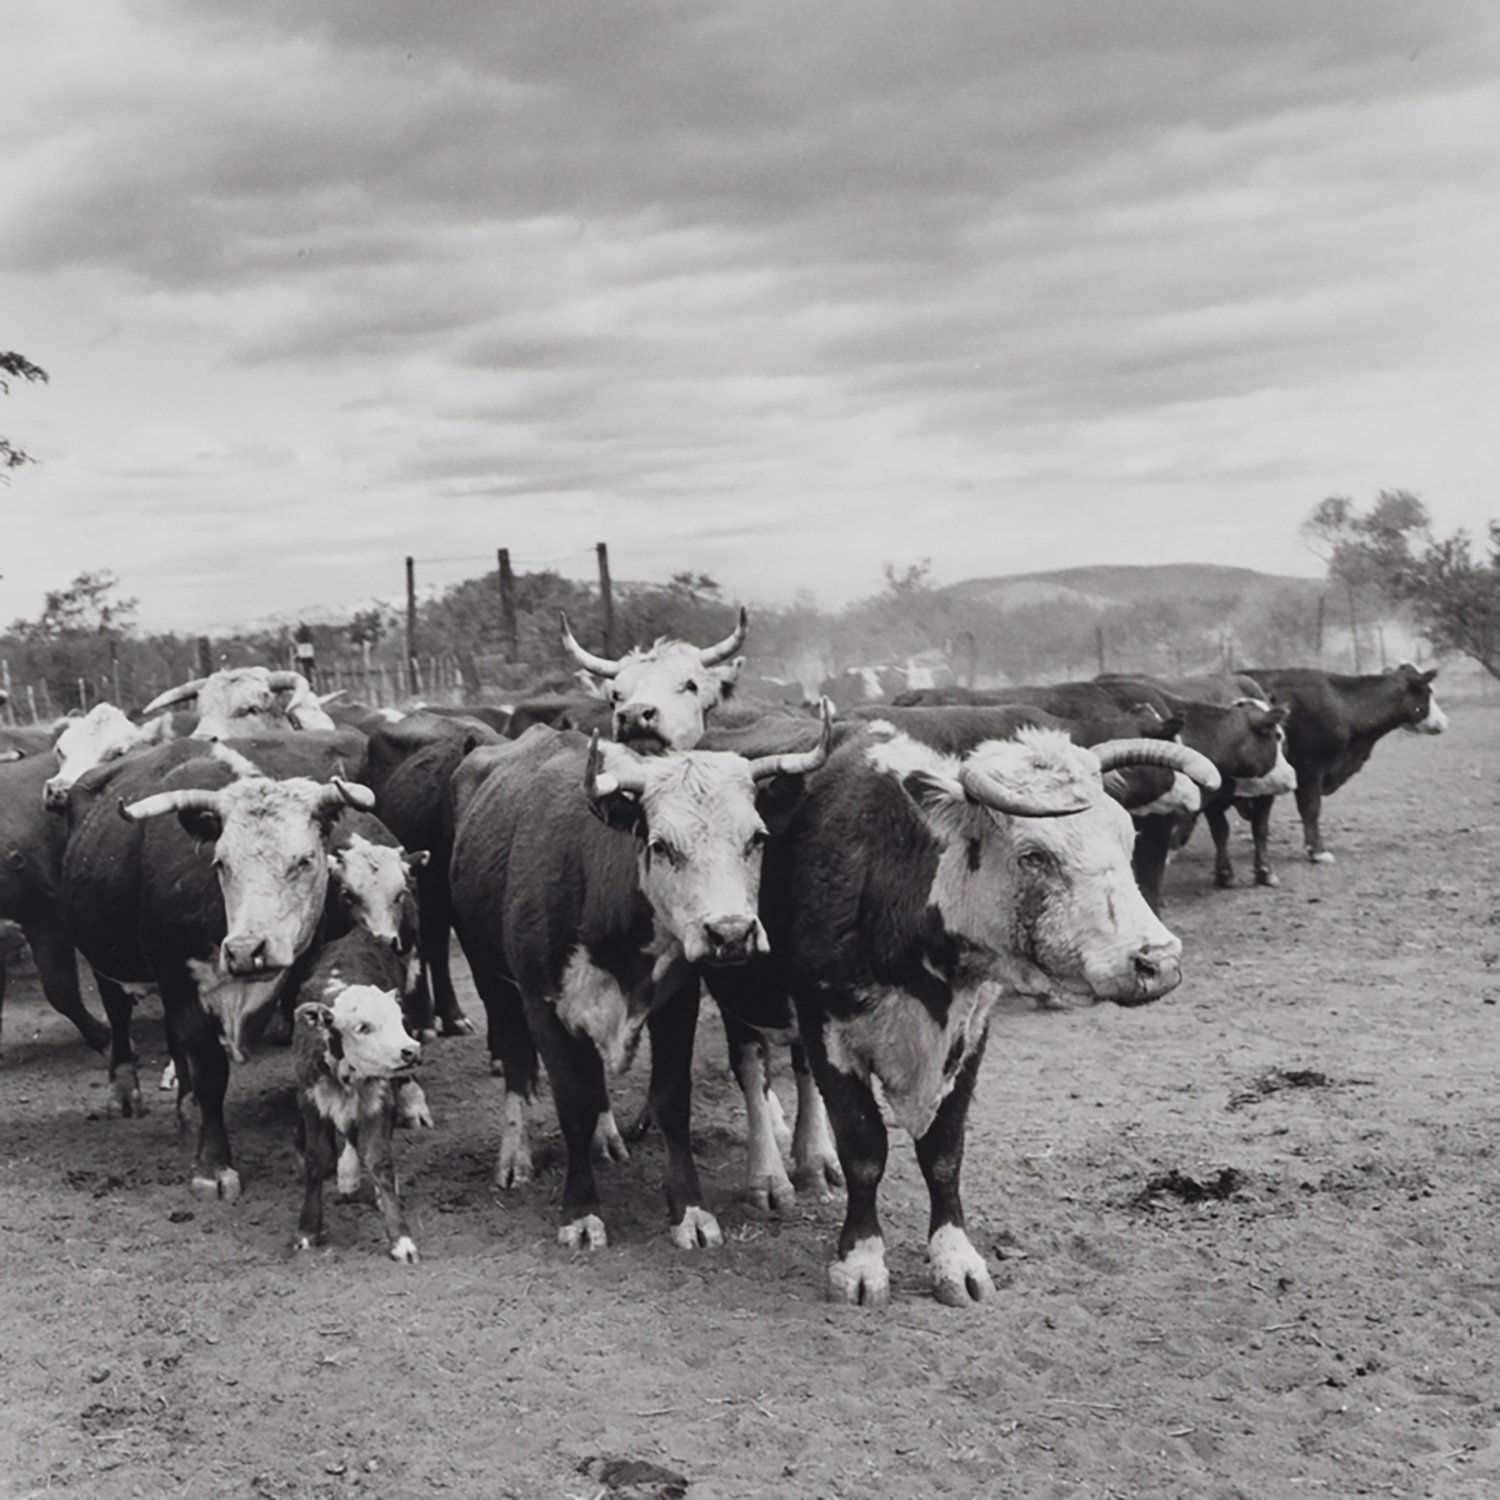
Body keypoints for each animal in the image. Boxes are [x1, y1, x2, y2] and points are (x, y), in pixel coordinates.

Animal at [450, 720, 828, 1248]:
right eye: (661, 845)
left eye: (756, 837)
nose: (731, 933)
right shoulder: (543, 1006)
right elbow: (573, 1103)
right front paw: (581, 1212)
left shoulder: (677, 1003)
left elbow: (670, 1100)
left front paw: (689, 1210)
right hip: (491, 978)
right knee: (517, 1062)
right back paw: (515, 1156)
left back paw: (606, 1138)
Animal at [708, 720, 1212, 1308]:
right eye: (1034, 855)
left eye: (1128, 837)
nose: (1159, 960)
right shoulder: (827, 1025)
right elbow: (864, 1148)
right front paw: (860, 1262)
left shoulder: (969, 1033)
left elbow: (944, 1151)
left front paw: (955, 1258)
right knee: (752, 1069)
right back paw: (768, 1175)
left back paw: (813, 1160)